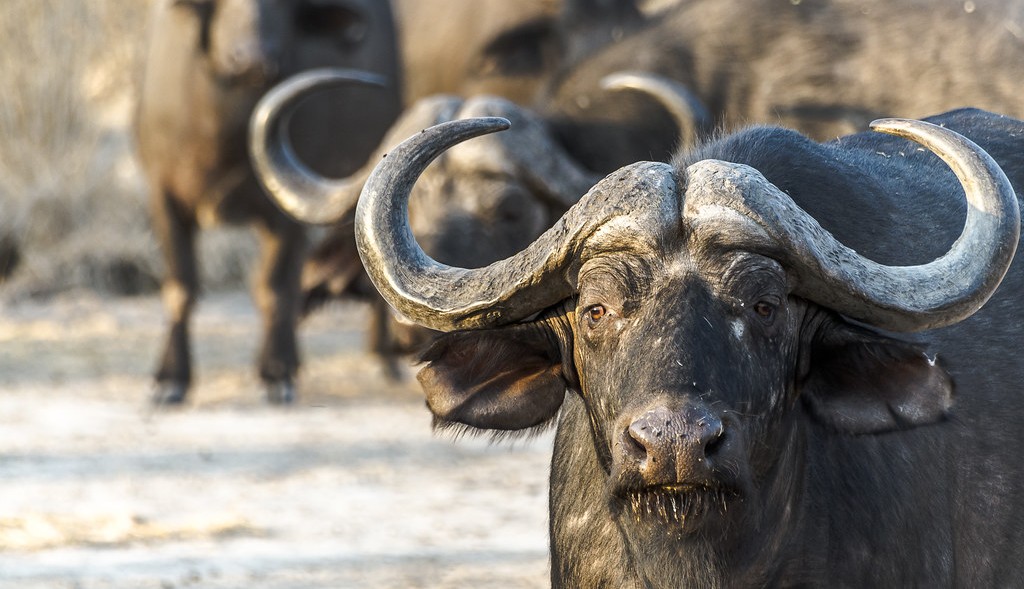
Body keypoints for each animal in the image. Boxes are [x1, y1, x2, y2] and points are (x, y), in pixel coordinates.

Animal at [134, 0, 402, 404]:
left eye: (282, 6)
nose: (253, 60)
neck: (224, 139)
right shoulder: (162, 198)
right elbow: (180, 288)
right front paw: (171, 378)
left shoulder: (287, 210)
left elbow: (273, 288)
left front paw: (276, 372)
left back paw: (383, 356)